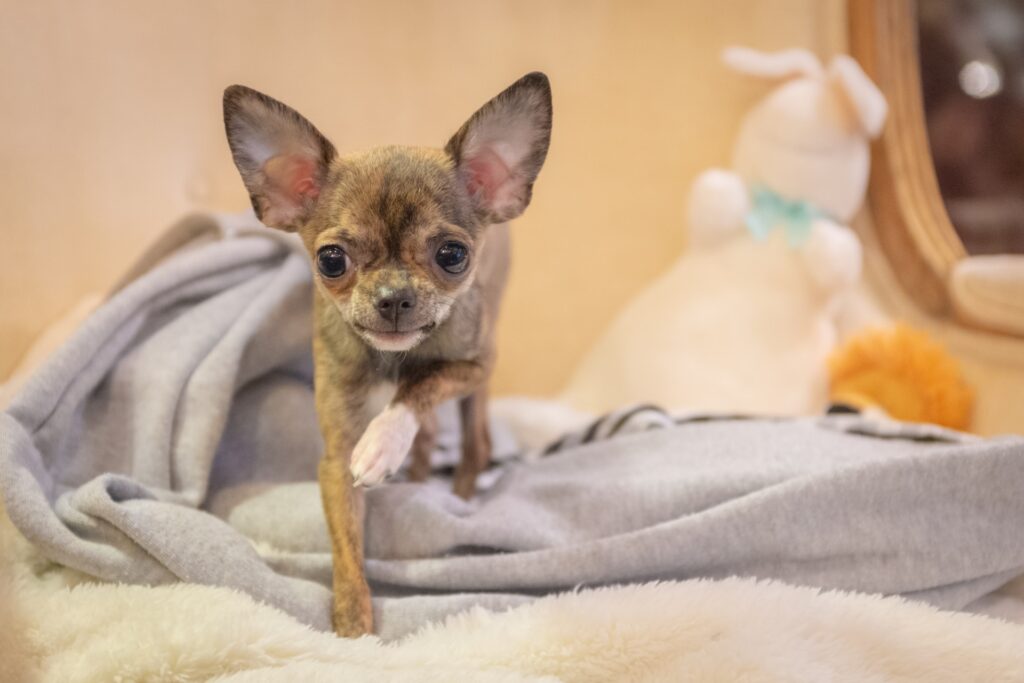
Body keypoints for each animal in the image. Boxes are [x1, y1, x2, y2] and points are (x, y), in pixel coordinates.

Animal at [224, 73, 552, 634]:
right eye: (331, 261)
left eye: (453, 255)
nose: (393, 296)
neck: (392, 360)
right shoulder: (336, 460)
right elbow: (346, 544)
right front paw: (352, 621)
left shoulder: (471, 366)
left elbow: (420, 385)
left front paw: (383, 441)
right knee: (435, 435)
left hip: (482, 375)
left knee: (475, 441)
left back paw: (458, 492)